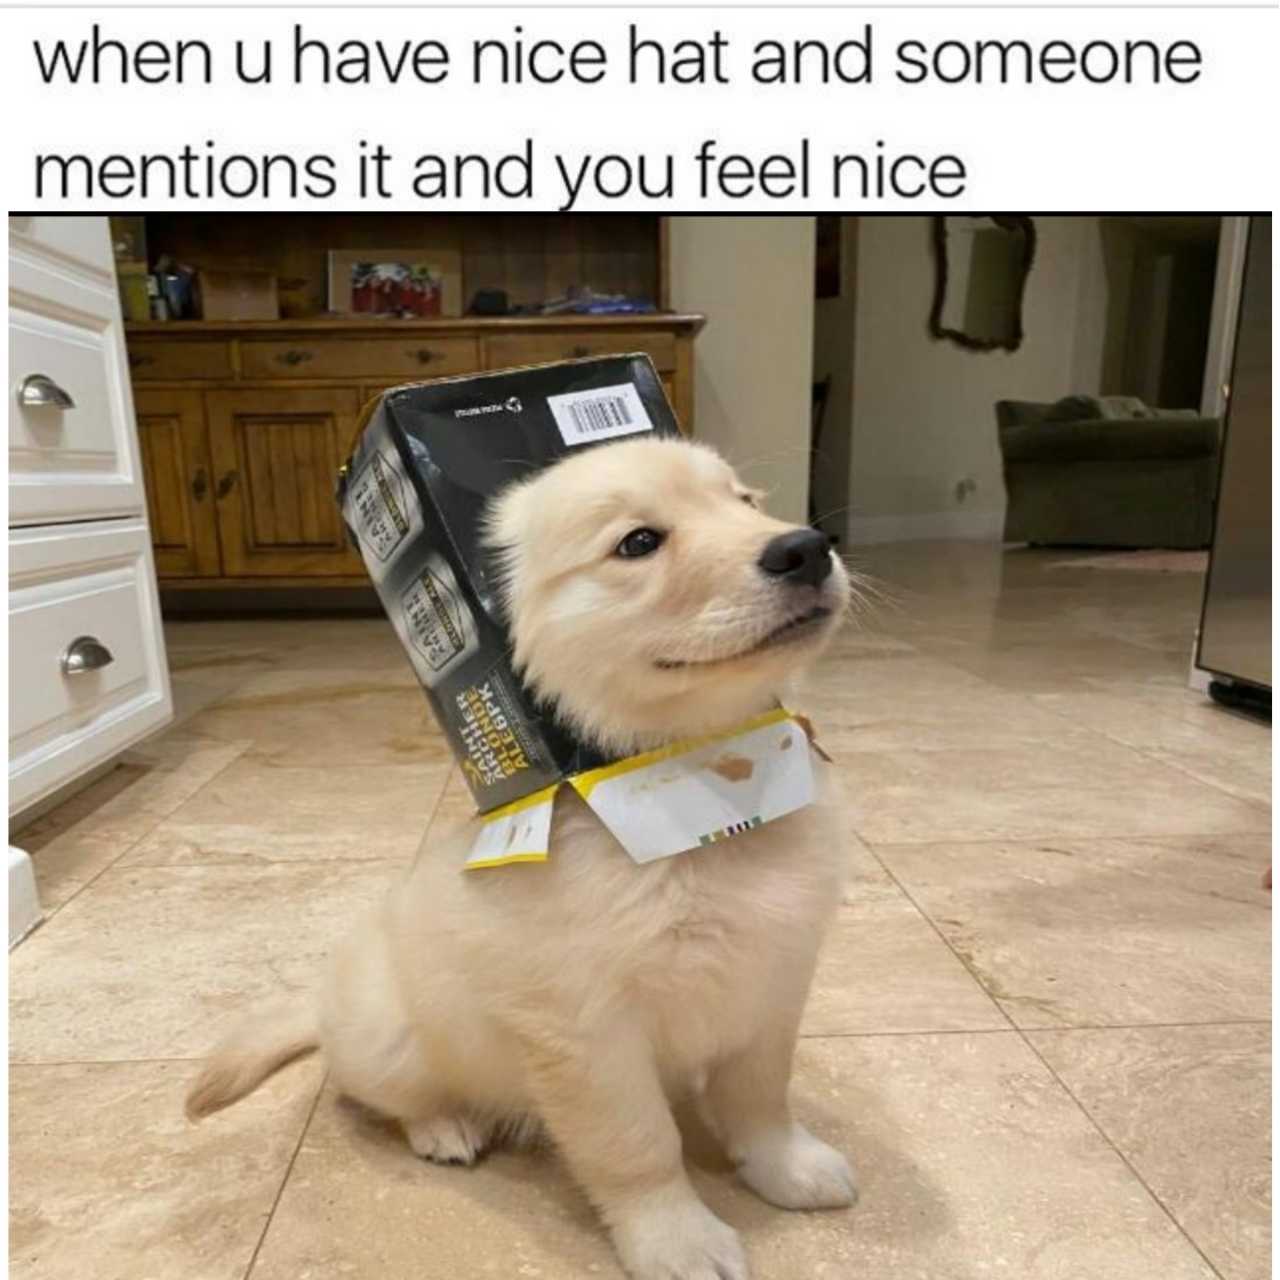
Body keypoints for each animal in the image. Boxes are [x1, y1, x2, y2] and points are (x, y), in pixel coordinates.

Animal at [186, 437, 860, 1280]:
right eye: (639, 542)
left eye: (743, 502)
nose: (805, 548)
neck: (700, 791)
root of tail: (318, 1004)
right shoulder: (586, 1031)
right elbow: (639, 1147)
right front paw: (676, 1239)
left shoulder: (773, 980)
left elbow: (762, 1097)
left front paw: (787, 1167)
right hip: (390, 1040)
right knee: (381, 1096)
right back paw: (443, 1128)